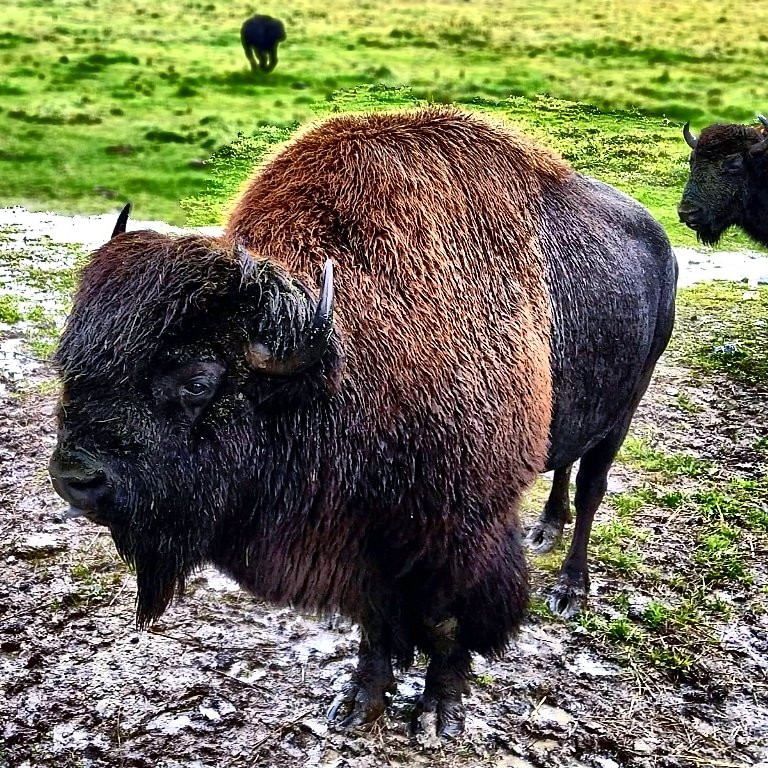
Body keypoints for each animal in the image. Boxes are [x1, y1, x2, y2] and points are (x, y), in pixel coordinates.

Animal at [48, 108, 676, 736]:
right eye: (71, 364)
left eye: (199, 381)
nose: (75, 478)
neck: (341, 359)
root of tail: (659, 241)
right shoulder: (363, 539)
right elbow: (375, 619)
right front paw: (359, 703)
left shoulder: (462, 529)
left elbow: (451, 622)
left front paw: (440, 710)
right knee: (565, 466)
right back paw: (545, 529)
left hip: (624, 410)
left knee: (592, 488)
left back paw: (570, 590)